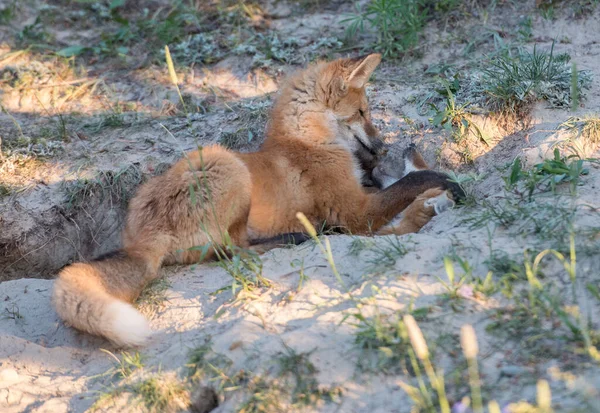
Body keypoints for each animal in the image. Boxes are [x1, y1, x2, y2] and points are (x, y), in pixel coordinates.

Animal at [52, 54, 464, 344]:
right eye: (362, 112)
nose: (382, 148)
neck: (307, 140)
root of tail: (140, 240)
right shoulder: (353, 210)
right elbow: (408, 184)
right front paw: (444, 181)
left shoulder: (361, 199)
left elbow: (398, 196)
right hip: (226, 165)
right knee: (235, 251)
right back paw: (299, 237)